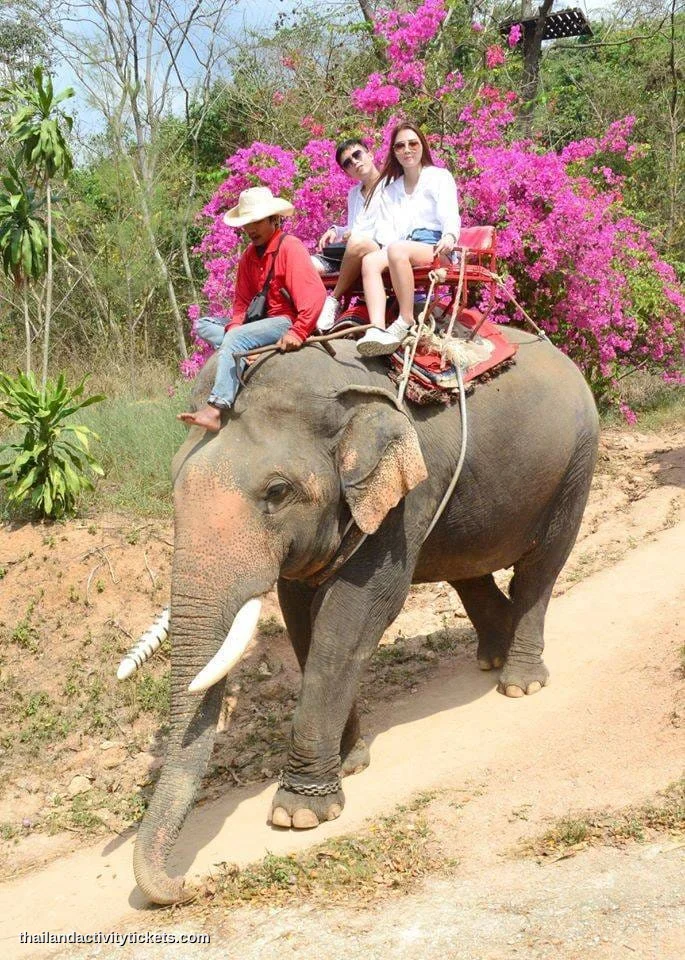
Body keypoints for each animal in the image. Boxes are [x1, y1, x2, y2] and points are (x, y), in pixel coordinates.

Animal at [133, 328, 599, 904]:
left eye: (277, 492)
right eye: (174, 484)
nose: (185, 884)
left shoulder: (406, 494)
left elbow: (355, 612)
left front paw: (299, 813)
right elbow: (301, 615)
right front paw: (350, 762)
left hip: (575, 463)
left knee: (540, 568)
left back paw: (519, 682)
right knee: (469, 570)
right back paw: (493, 656)